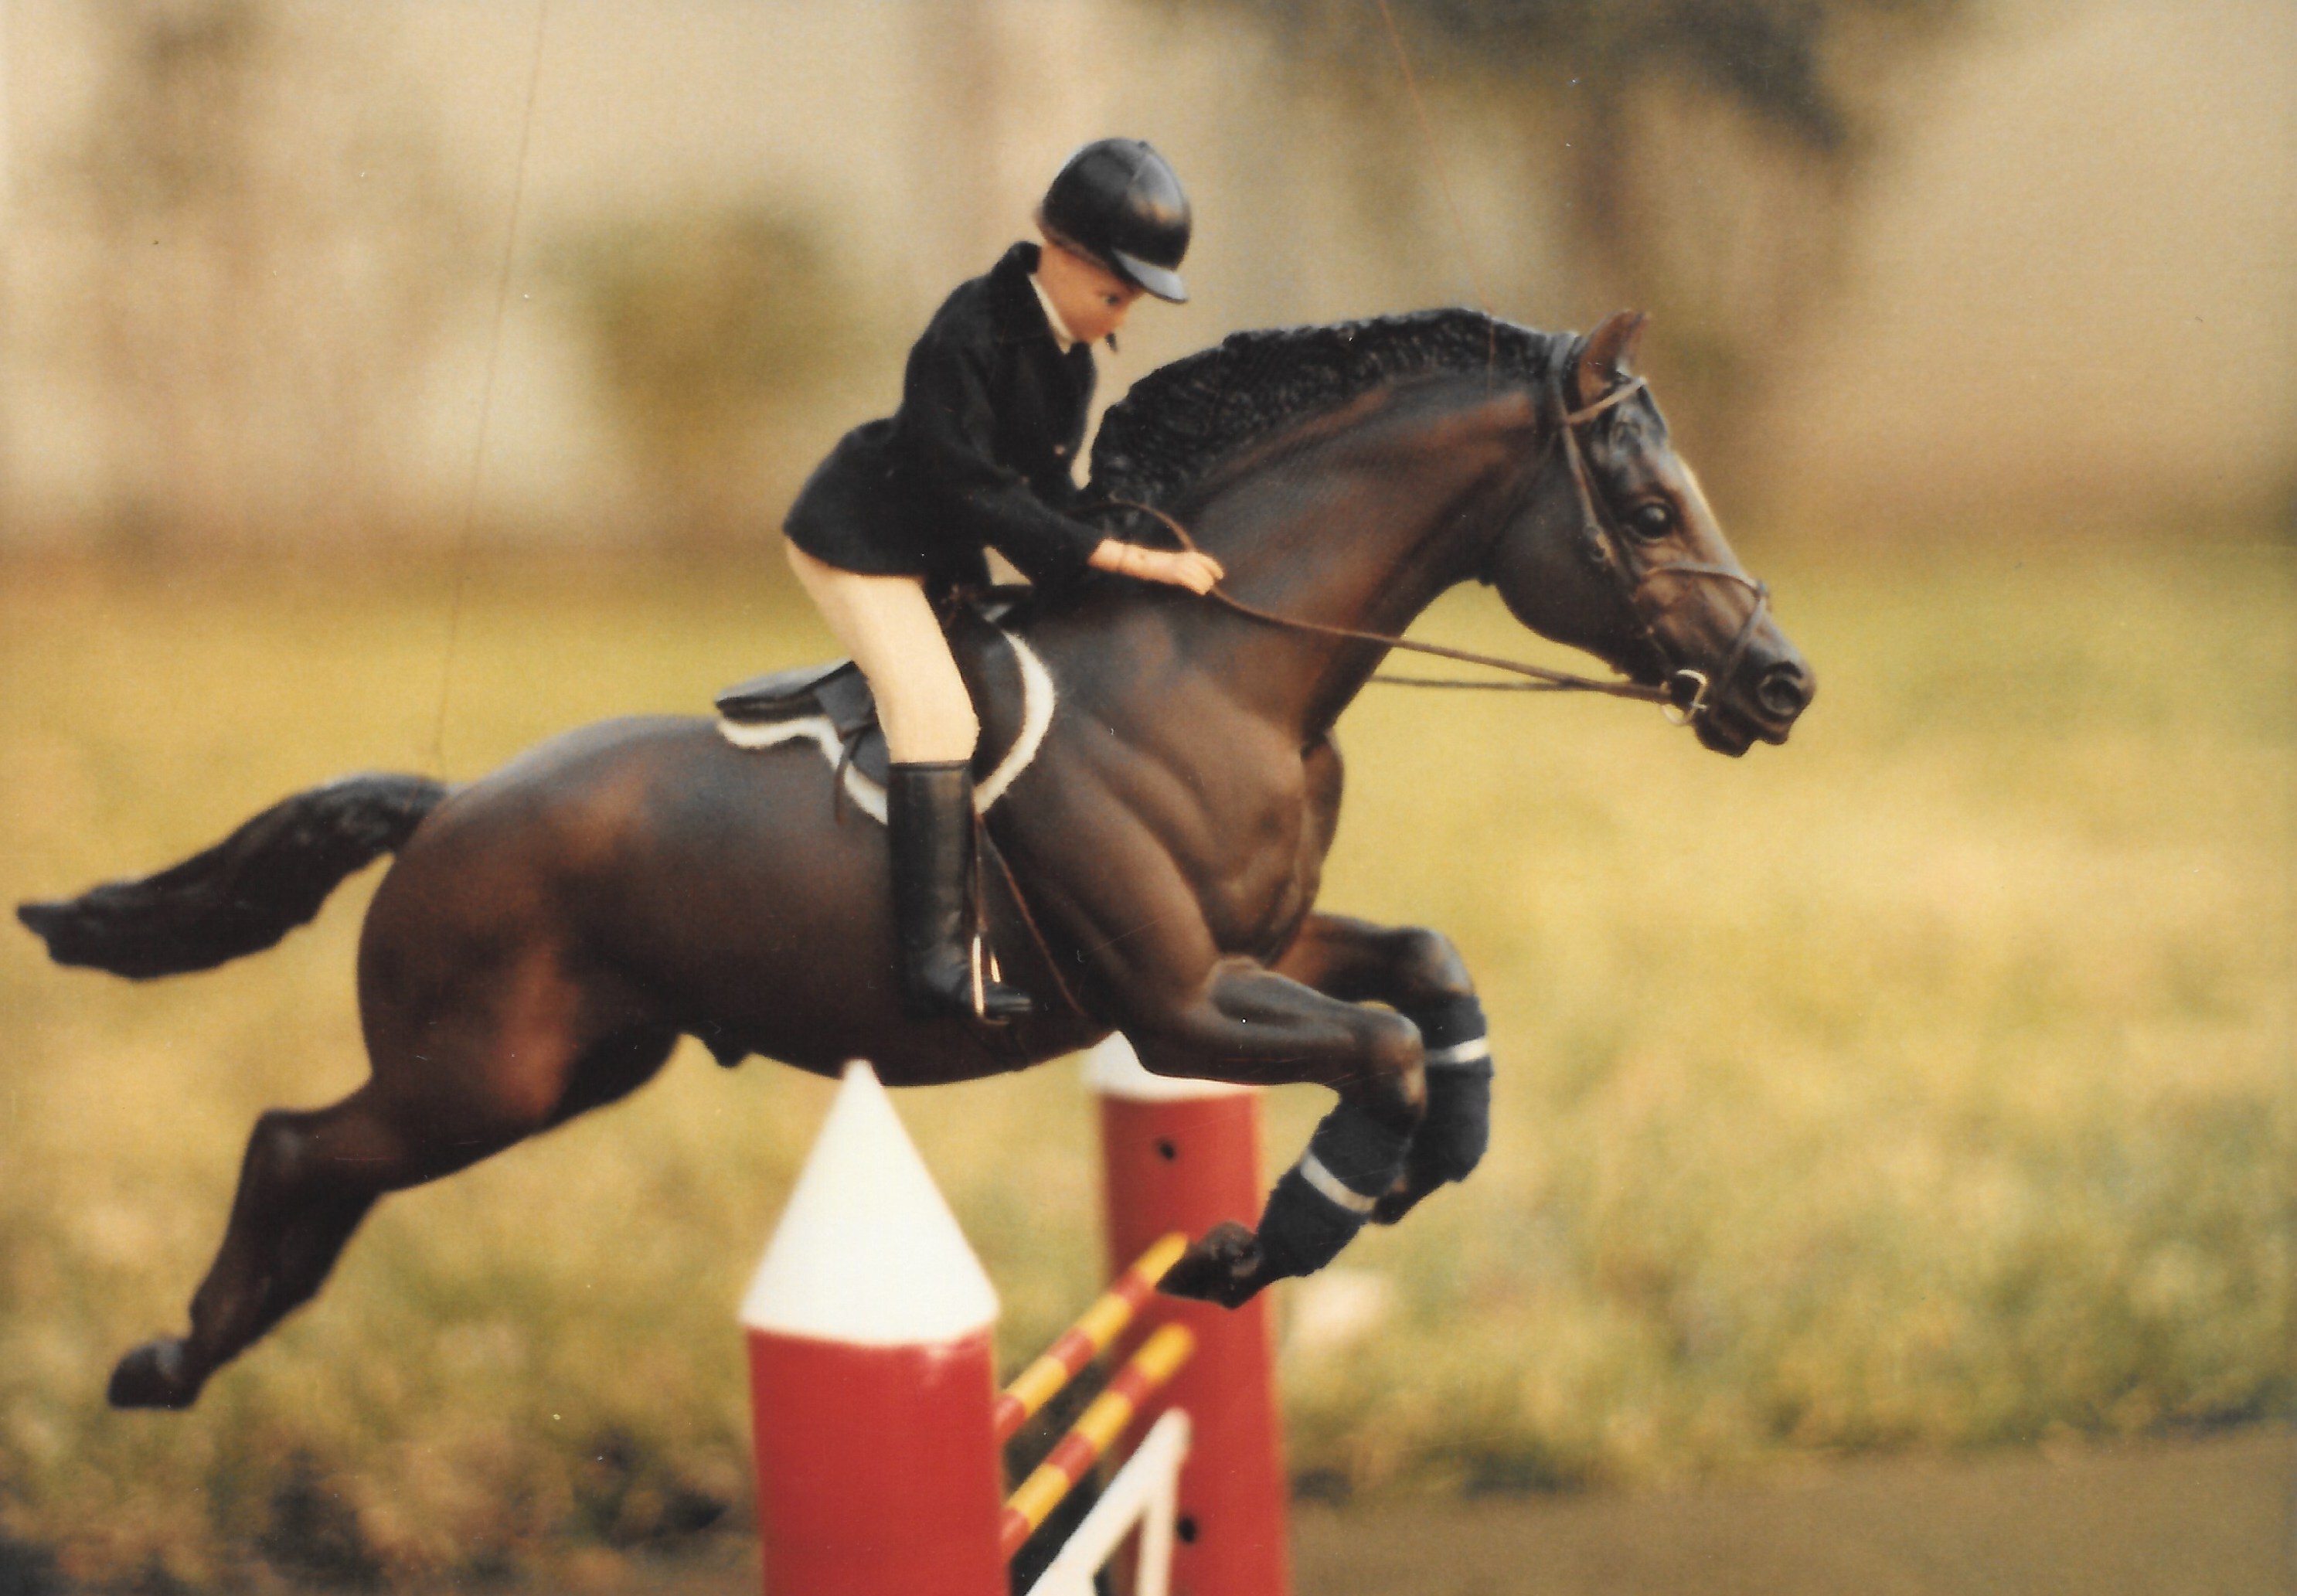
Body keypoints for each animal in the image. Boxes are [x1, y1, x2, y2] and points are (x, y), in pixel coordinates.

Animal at [18, 305, 1809, 1405]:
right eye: (1650, 511)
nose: (1780, 686)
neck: (1224, 668)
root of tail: (448, 803)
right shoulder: (1177, 1002)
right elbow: (1374, 1047)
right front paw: (1250, 1252)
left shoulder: (1259, 948)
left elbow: (1425, 981)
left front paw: (1434, 1157)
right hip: (484, 1076)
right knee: (292, 1148)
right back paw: (169, 1364)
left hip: (569, 1073)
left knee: (328, 1174)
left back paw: (208, 1349)